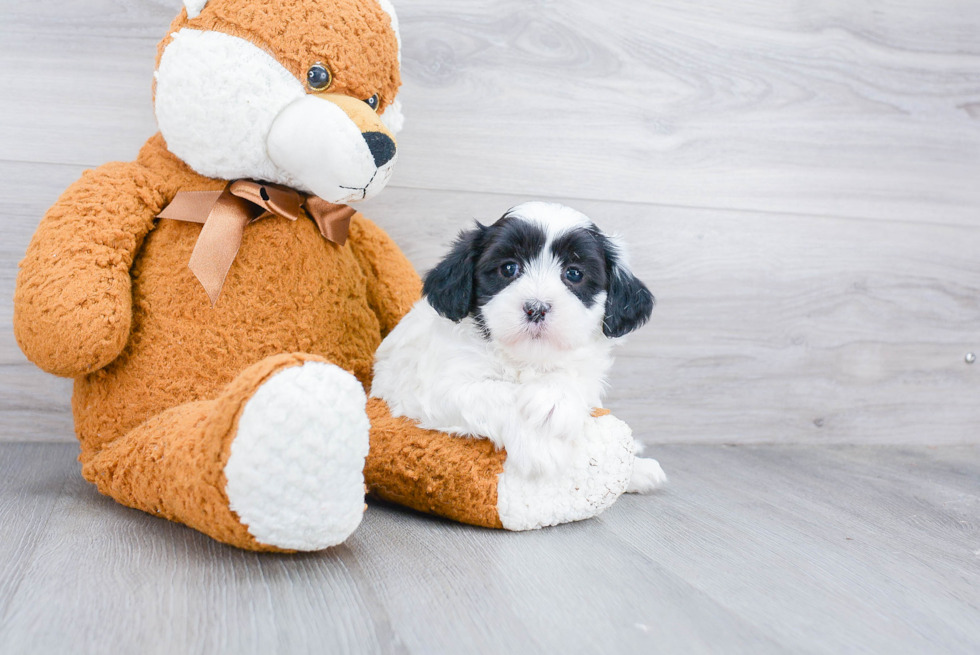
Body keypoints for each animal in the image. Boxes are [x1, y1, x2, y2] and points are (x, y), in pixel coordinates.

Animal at [370, 201, 668, 492]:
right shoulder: (439, 388)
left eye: (574, 273)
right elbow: (494, 391)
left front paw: (554, 397)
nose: (536, 308)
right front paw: (539, 446)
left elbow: (570, 379)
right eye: (508, 268)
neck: (525, 360)